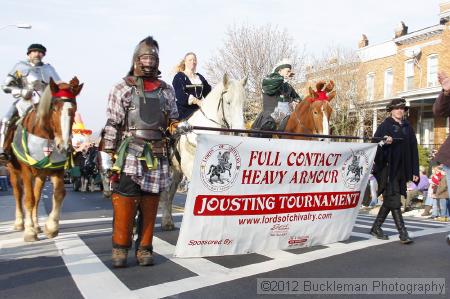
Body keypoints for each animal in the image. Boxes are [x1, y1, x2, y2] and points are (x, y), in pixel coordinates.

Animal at [7, 77, 83, 241]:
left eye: (73, 110)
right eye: (54, 108)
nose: (64, 147)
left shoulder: (57, 170)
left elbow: (58, 194)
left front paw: (51, 227)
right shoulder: (26, 171)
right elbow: (28, 199)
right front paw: (29, 231)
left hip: (41, 175)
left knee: (37, 196)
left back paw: (36, 225)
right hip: (13, 171)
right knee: (18, 194)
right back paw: (20, 223)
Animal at [160, 74, 248, 230]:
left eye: (243, 103)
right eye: (228, 102)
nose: (240, 132)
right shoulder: (191, 169)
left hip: (177, 171)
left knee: (170, 192)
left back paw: (168, 221)